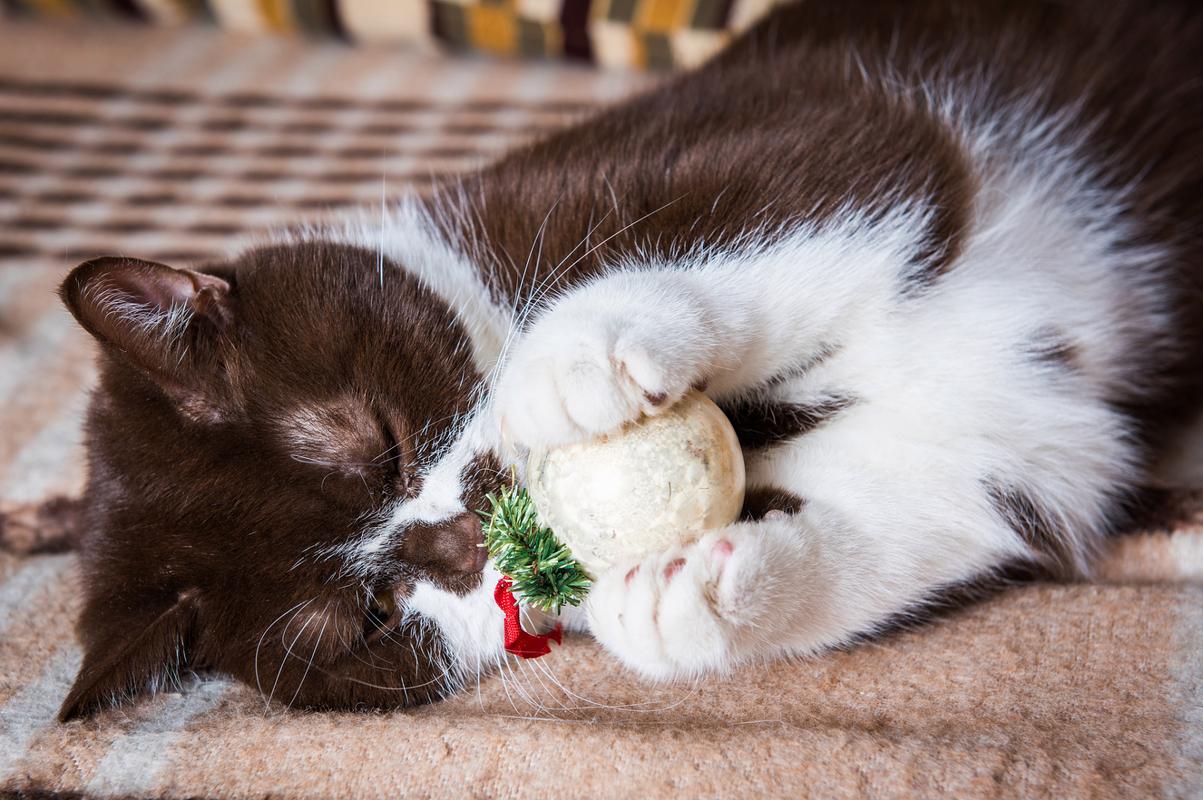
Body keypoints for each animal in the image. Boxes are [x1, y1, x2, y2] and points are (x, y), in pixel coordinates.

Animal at [54, 0, 1203, 721]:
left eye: (376, 441)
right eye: (370, 616)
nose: (464, 536)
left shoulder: (819, 116)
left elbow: (822, 186)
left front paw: (571, 358)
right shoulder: (1035, 441)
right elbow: (971, 496)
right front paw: (687, 602)